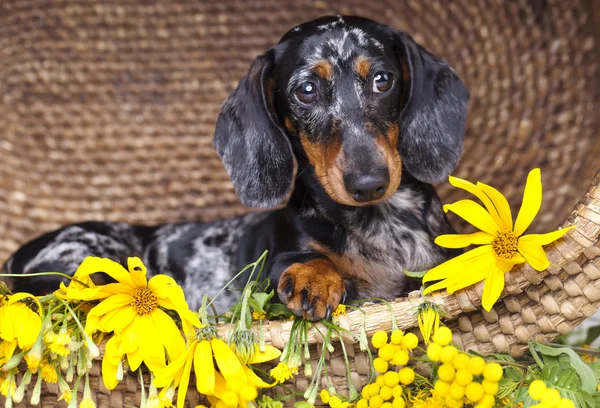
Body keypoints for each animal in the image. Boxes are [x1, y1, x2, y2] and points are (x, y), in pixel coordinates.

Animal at [2, 15, 468, 320]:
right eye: (306, 90)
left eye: (382, 80)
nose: (368, 183)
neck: (383, 227)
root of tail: (13, 259)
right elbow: (306, 260)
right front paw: (315, 278)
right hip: (87, 261)